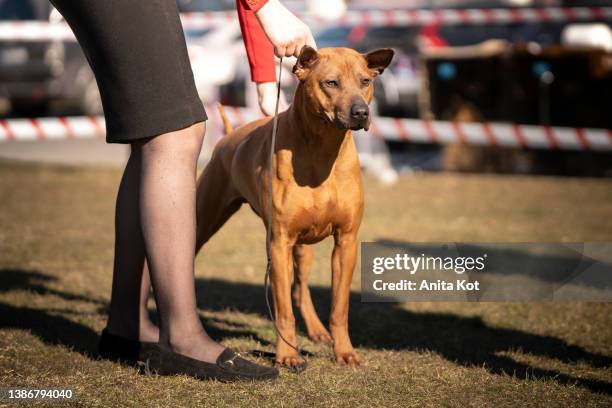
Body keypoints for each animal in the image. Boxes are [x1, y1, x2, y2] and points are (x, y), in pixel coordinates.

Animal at [196, 46, 396, 368]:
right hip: (204, 220)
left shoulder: (346, 241)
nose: (361, 113)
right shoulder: (279, 243)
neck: (323, 149)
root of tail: (227, 136)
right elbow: (283, 311)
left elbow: (339, 308)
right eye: (331, 83)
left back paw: (317, 330)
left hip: (304, 246)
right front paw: (288, 355)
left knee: (301, 288)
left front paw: (344, 352)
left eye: (365, 81)